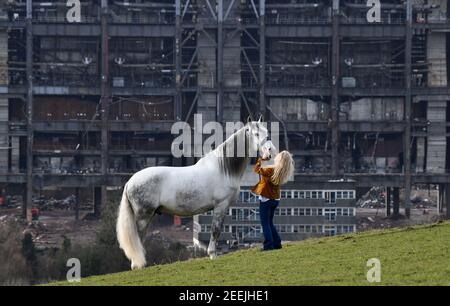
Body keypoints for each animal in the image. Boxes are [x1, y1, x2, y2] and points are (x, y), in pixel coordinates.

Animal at [117, 120, 270, 270]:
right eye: (256, 134)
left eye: (267, 133)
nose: (268, 153)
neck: (223, 170)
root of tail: (130, 182)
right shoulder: (220, 206)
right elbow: (215, 230)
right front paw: (212, 254)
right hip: (144, 216)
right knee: (137, 238)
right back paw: (138, 264)